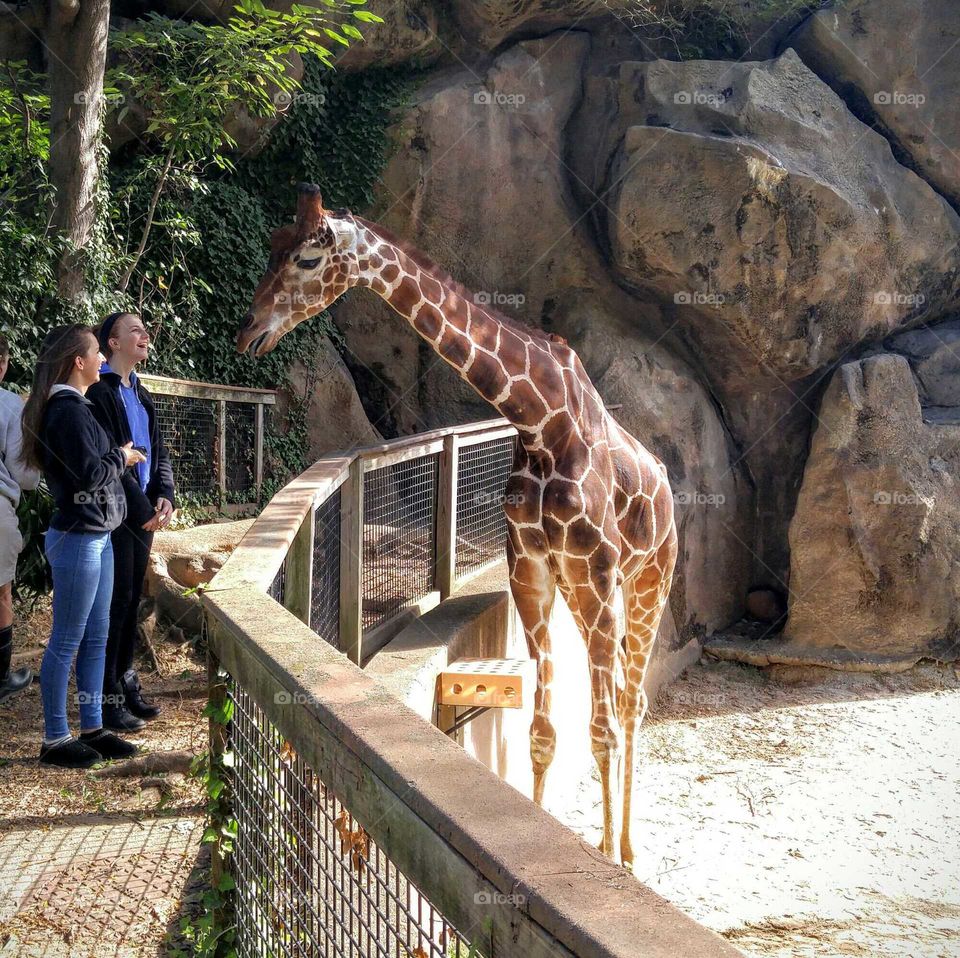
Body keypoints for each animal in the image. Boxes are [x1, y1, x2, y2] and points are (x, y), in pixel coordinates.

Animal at [237, 184, 678, 868]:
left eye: (307, 259)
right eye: (273, 247)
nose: (249, 332)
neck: (538, 420)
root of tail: (669, 489)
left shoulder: (596, 575)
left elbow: (601, 727)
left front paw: (607, 861)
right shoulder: (532, 572)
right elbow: (543, 731)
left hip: (646, 582)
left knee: (629, 704)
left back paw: (626, 849)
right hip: (590, 595)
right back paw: (618, 841)